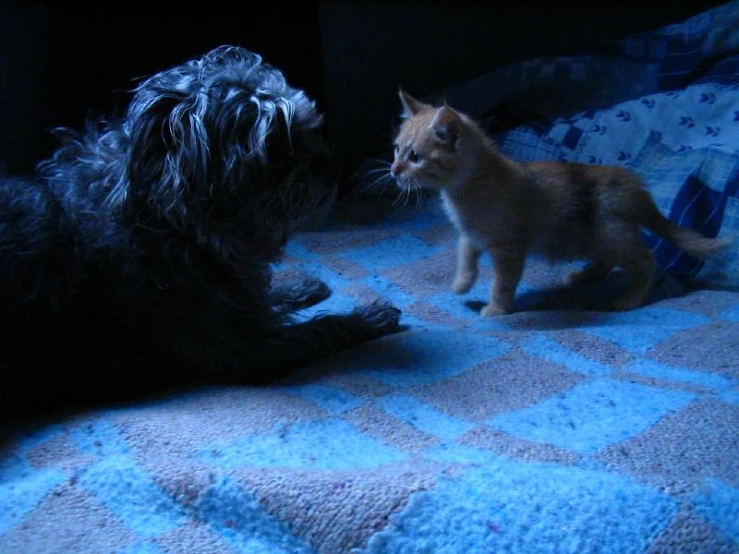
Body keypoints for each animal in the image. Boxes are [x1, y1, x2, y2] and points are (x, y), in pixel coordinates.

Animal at [0, 45, 404, 418]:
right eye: (275, 145)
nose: (335, 168)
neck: (173, 223)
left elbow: (259, 298)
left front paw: (300, 286)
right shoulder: (246, 352)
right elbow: (318, 330)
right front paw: (367, 317)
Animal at [390, 91, 732, 314]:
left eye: (415, 157)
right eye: (396, 149)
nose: (393, 171)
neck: (463, 192)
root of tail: (636, 188)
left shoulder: (509, 247)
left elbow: (503, 281)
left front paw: (496, 309)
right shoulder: (471, 233)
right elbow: (464, 253)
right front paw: (462, 283)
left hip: (611, 235)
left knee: (647, 260)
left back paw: (629, 299)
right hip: (591, 238)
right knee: (609, 261)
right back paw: (584, 276)